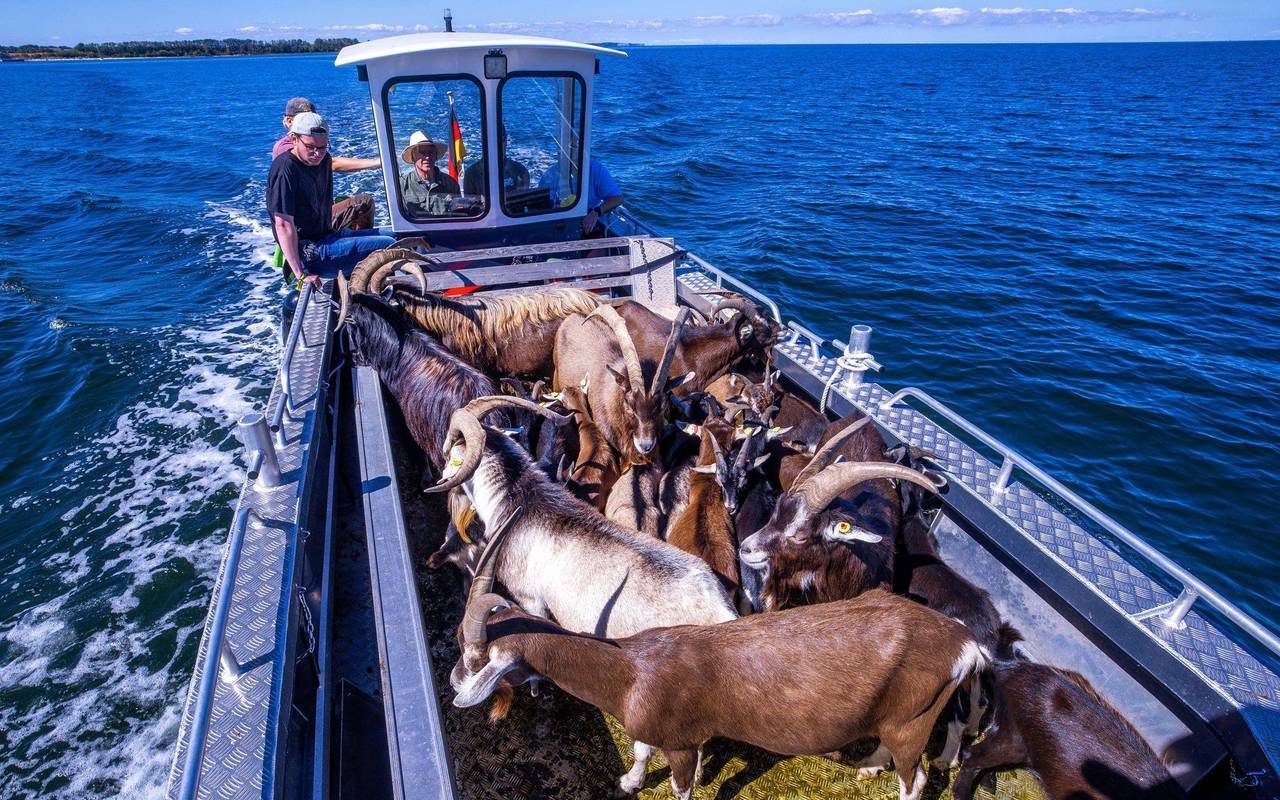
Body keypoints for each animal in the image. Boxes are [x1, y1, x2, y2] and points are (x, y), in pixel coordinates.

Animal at [425, 395, 738, 793]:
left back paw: (631, 780)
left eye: (453, 443)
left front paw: (536, 687)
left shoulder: (530, 599)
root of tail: (719, 614)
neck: (520, 500)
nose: (439, 471)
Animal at [455, 576, 991, 800]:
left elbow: (681, 784)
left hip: (914, 717)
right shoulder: (653, 722)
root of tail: (964, 643)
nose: (455, 679)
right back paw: (869, 766)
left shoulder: (683, 741)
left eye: (477, 656)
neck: (631, 671)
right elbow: (641, 748)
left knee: (915, 779)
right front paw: (629, 782)